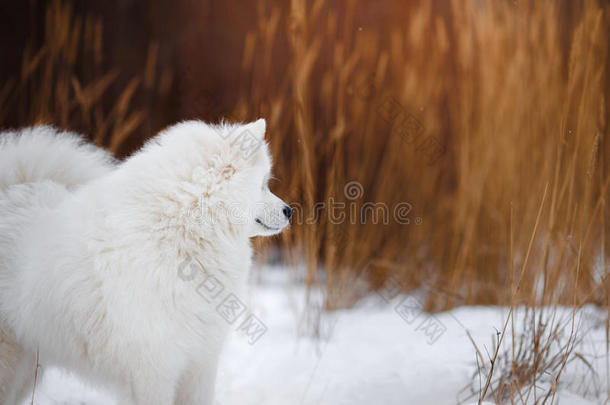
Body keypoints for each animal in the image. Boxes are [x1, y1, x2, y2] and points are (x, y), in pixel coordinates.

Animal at [0, 120, 290, 404]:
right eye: (263, 184)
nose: (290, 211)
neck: (183, 232)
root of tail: (14, 188)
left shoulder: (199, 364)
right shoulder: (154, 369)